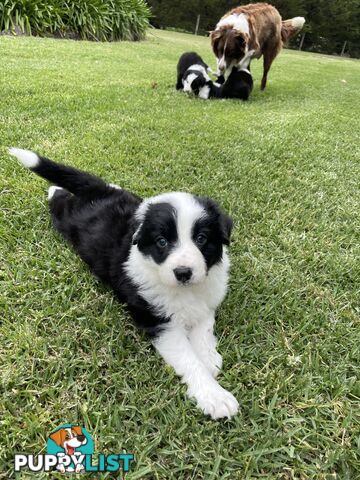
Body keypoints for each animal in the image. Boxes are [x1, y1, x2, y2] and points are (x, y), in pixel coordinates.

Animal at [9, 147, 239, 420]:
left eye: (202, 239)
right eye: (162, 242)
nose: (183, 272)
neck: (184, 290)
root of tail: (98, 191)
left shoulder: (206, 300)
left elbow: (204, 328)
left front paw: (209, 357)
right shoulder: (158, 322)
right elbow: (188, 359)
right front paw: (214, 396)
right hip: (67, 220)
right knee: (60, 203)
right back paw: (54, 190)